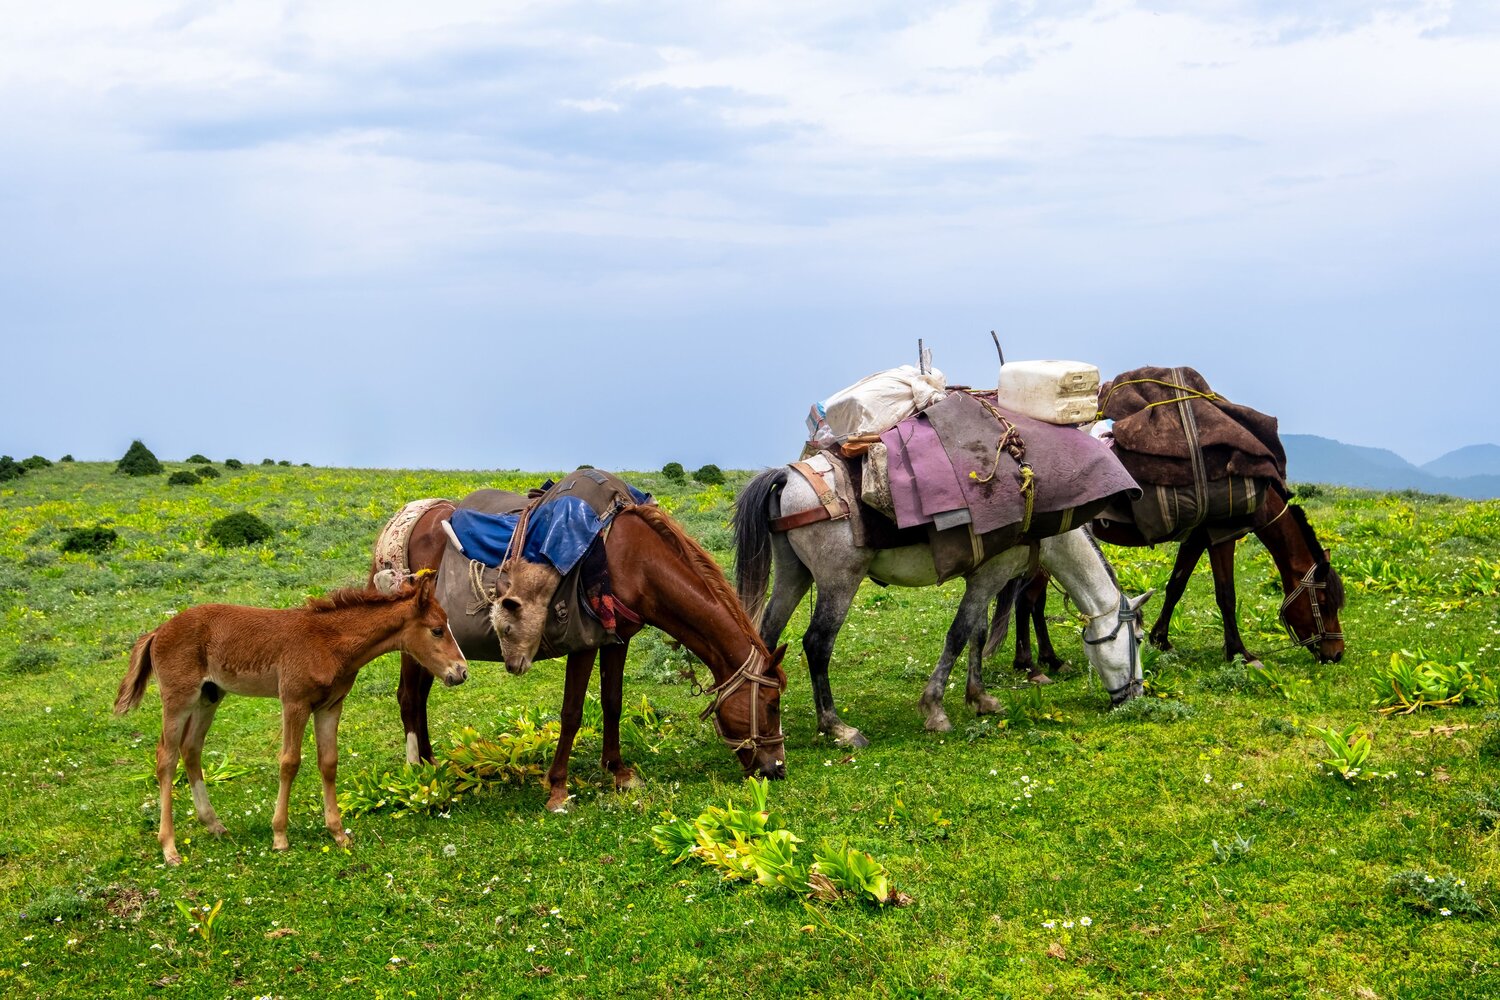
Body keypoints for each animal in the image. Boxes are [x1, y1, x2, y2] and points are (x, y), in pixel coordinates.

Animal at [113, 574, 468, 865]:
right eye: (437, 630)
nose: (461, 672)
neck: (329, 641)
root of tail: (158, 631)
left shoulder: (330, 706)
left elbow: (329, 762)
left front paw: (338, 833)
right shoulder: (294, 702)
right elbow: (289, 762)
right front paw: (280, 836)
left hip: (208, 697)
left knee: (191, 750)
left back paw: (215, 825)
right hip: (178, 699)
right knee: (166, 757)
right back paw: (169, 847)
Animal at [380, 483, 788, 813]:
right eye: (771, 705)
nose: (776, 768)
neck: (635, 562)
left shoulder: (618, 638)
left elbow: (612, 702)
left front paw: (619, 771)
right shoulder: (583, 641)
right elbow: (572, 712)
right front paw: (558, 788)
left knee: (419, 696)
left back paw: (433, 766)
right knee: (409, 697)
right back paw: (419, 776)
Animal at [734, 465, 1152, 748]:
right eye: (1139, 639)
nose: (1135, 697)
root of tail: (789, 477)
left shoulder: (983, 578)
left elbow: (978, 633)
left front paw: (980, 697)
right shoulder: (991, 575)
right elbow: (959, 634)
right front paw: (935, 709)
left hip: (793, 575)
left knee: (766, 636)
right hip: (839, 582)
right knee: (817, 644)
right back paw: (836, 726)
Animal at [1012, 481, 1345, 671]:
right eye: (1323, 602)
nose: (1337, 653)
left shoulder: (1196, 538)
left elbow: (1176, 585)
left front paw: (1161, 638)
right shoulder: (1221, 537)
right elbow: (1226, 595)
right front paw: (1240, 652)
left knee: (1034, 602)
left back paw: (1047, 659)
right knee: (1026, 600)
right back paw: (1031, 663)